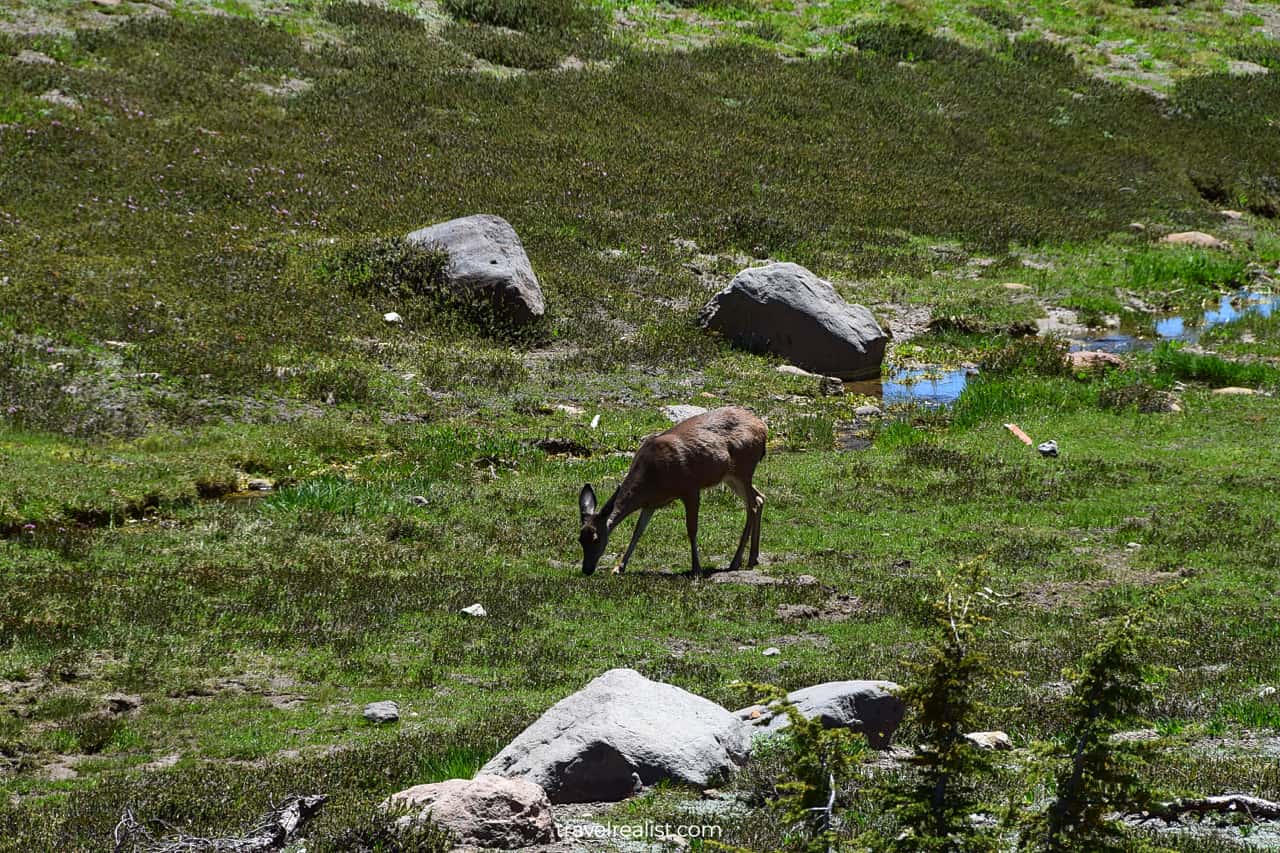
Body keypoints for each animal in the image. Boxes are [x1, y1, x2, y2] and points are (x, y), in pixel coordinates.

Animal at [581, 404, 768, 578]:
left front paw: (696, 569)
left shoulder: (690, 488)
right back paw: (753, 559)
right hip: (731, 476)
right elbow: (638, 531)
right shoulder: (651, 503)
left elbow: (692, 529)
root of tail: (763, 427)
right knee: (760, 498)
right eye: (580, 539)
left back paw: (735, 562)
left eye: (597, 538)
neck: (652, 477)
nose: (586, 569)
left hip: (743, 469)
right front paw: (618, 568)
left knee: (752, 505)